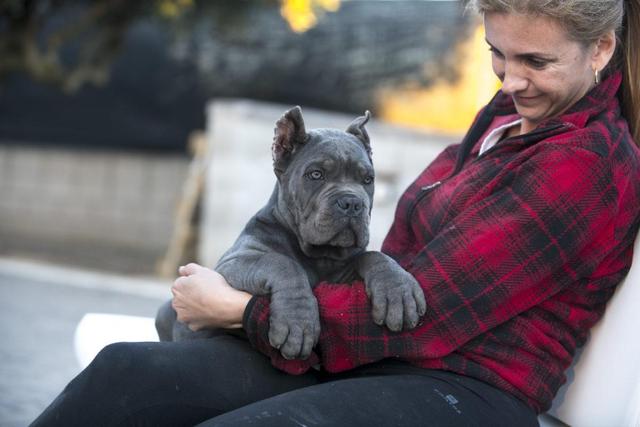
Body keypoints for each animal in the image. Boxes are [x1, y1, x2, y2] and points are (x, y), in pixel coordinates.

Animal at [155, 107, 424, 362]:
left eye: (368, 179)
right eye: (316, 174)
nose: (352, 203)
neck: (319, 254)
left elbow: (373, 256)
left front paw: (398, 290)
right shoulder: (231, 263)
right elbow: (281, 263)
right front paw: (298, 321)